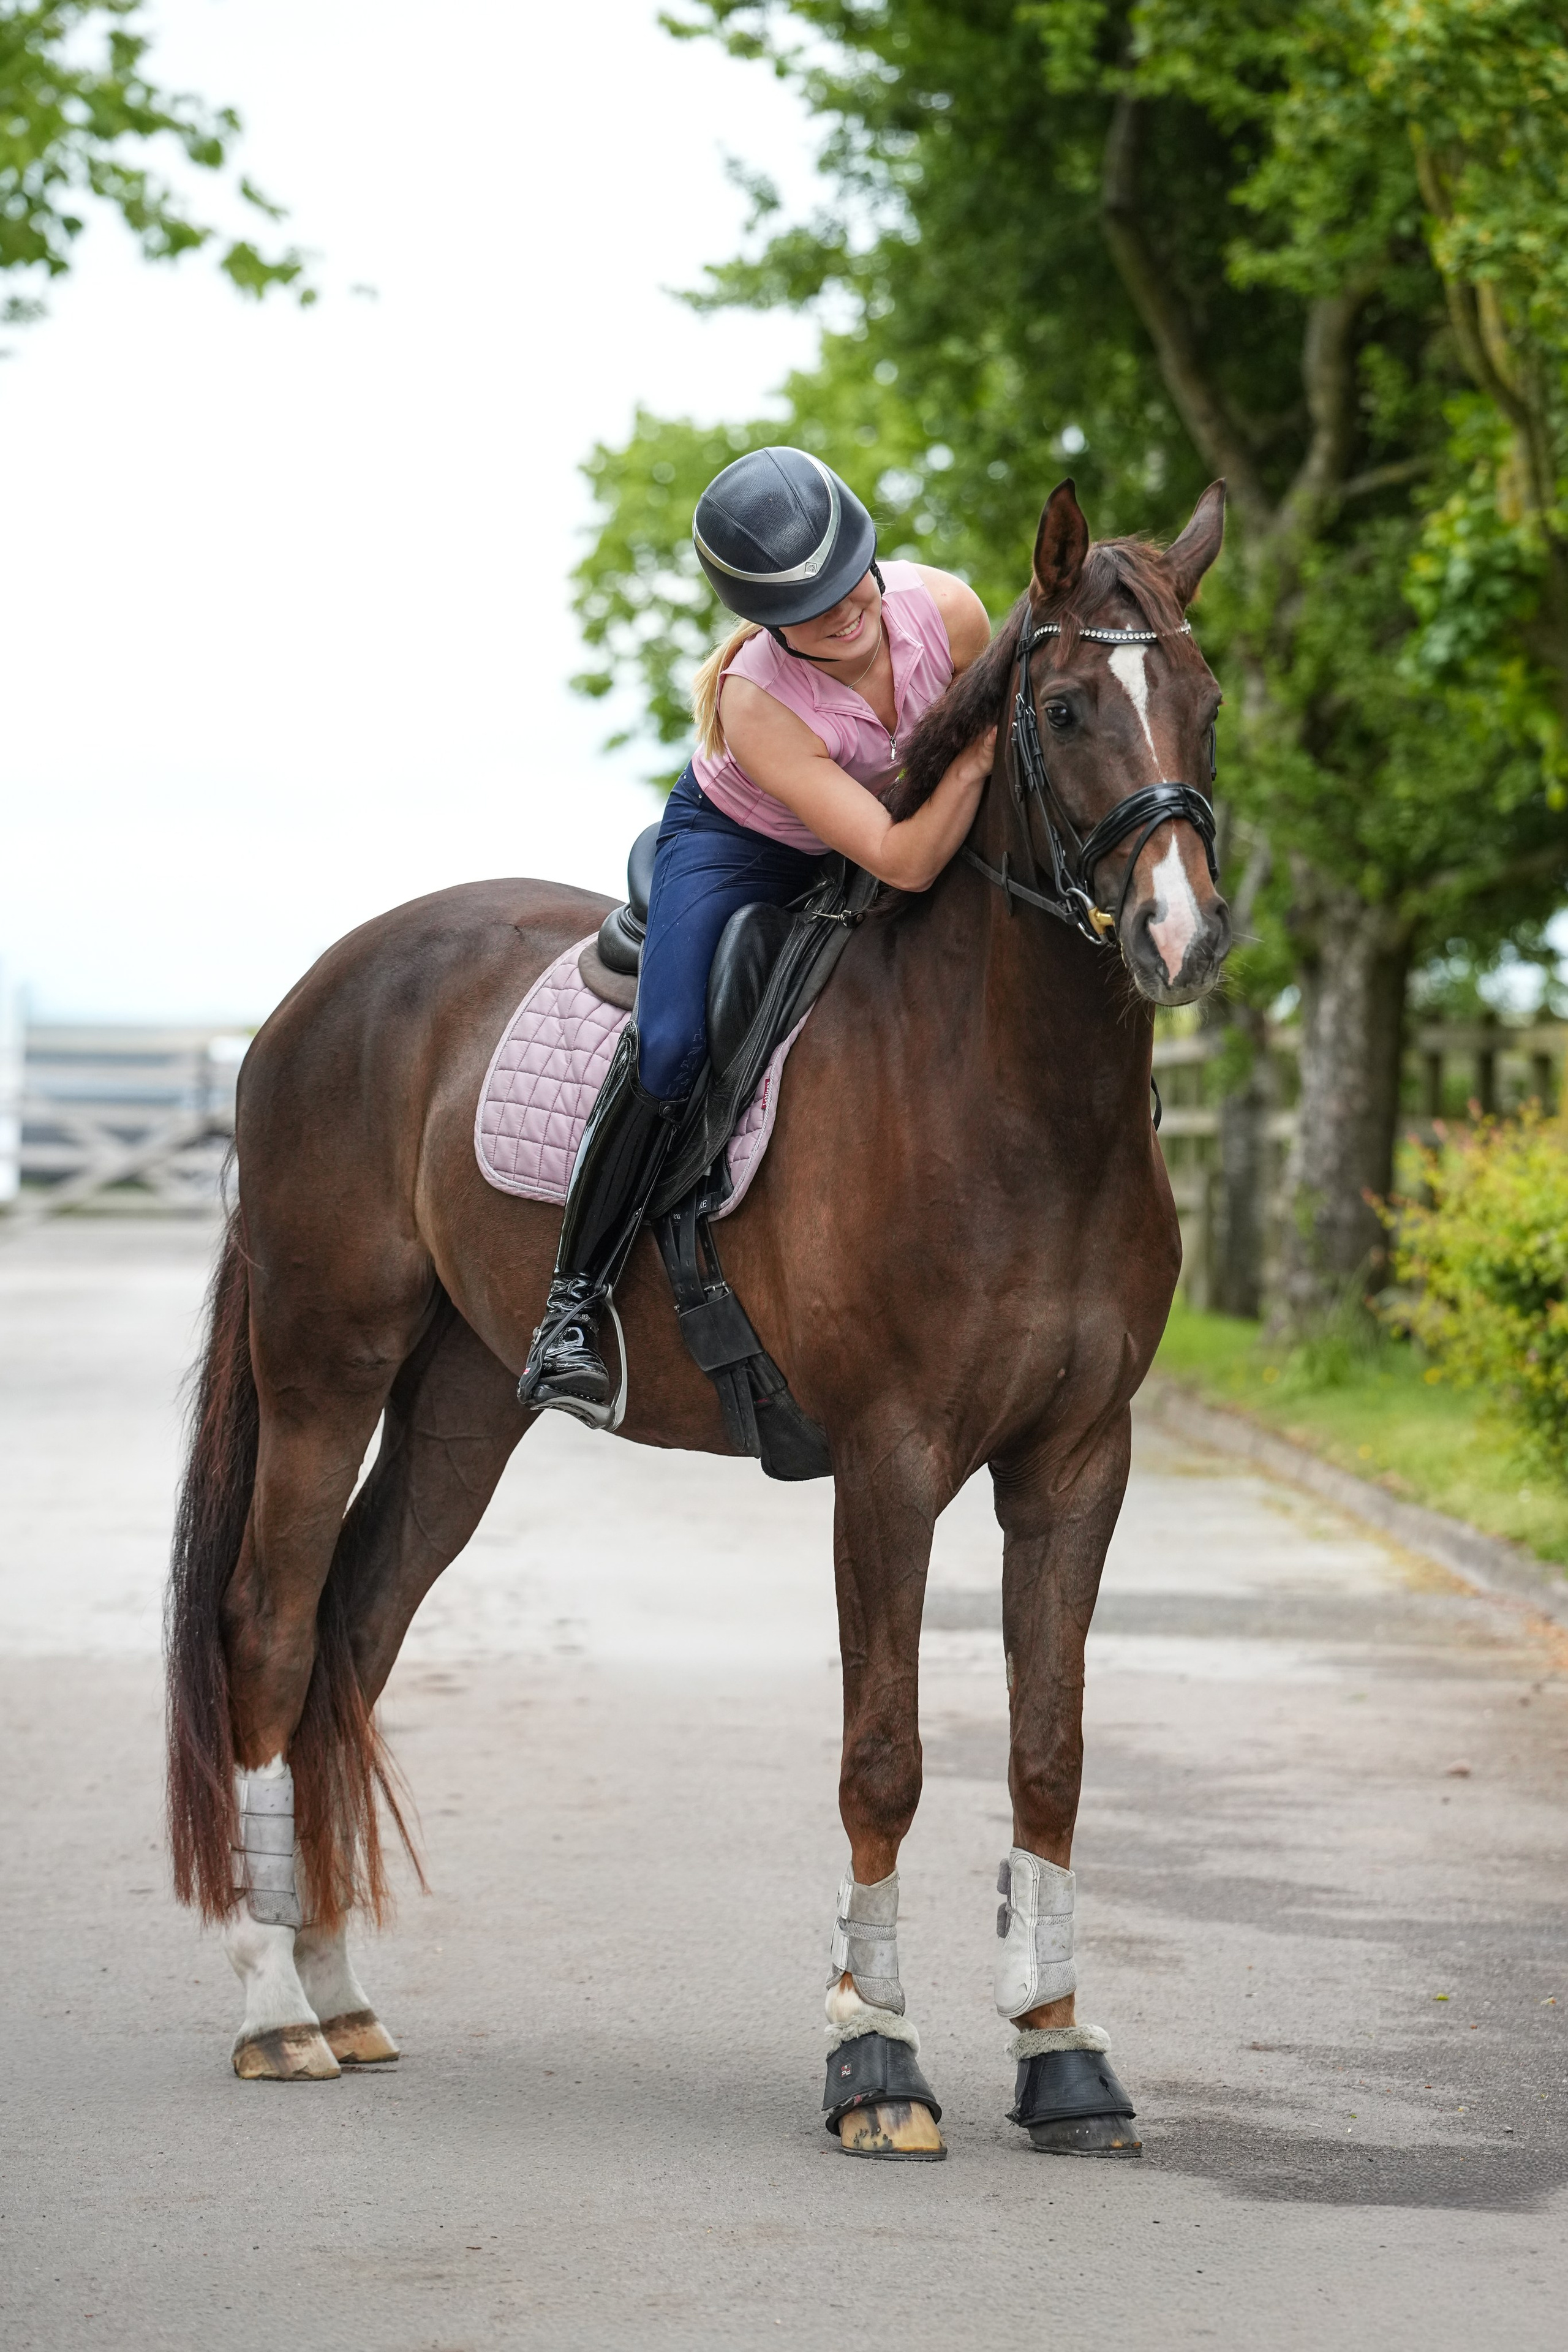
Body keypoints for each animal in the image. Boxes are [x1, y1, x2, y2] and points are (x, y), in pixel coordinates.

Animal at [166, 476, 1231, 2158]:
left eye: (1203, 698)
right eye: (1063, 708)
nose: (1176, 935)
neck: (1007, 1092)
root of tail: (314, 994)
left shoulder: (1075, 1460)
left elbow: (1048, 1752)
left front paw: (1062, 2056)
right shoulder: (888, 1461)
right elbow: (883, 1758)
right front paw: (874, 2059)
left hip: (457, 1409)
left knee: (356, 1633)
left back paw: (336, 1993)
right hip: (323, 1366)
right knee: (271, 1633)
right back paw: (276, 2012)